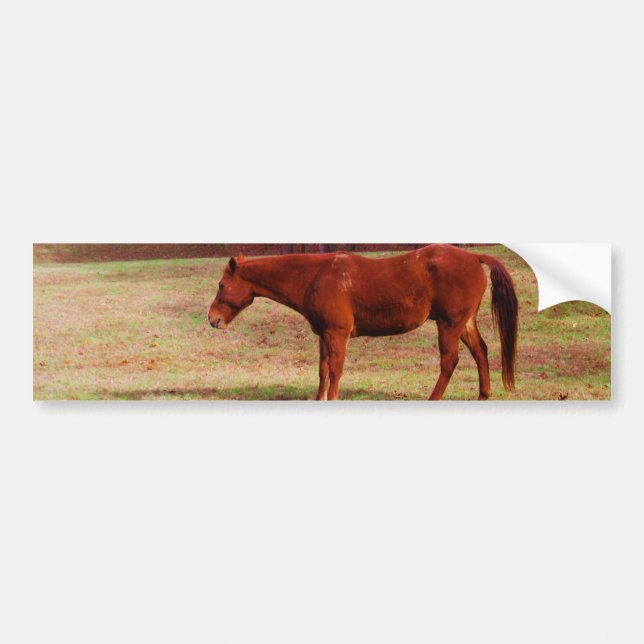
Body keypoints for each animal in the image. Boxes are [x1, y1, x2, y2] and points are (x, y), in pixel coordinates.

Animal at [207, 244, 518, 400]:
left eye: (222, 285)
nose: (212, 319)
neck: (315, 277)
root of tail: (474, 256)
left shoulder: (337, 334)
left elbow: (335, 373)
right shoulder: (324, 336)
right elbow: (323, 372)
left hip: (449, 324)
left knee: (449, 362)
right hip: (463, 323)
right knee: (481, 353)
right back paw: (483, 395)